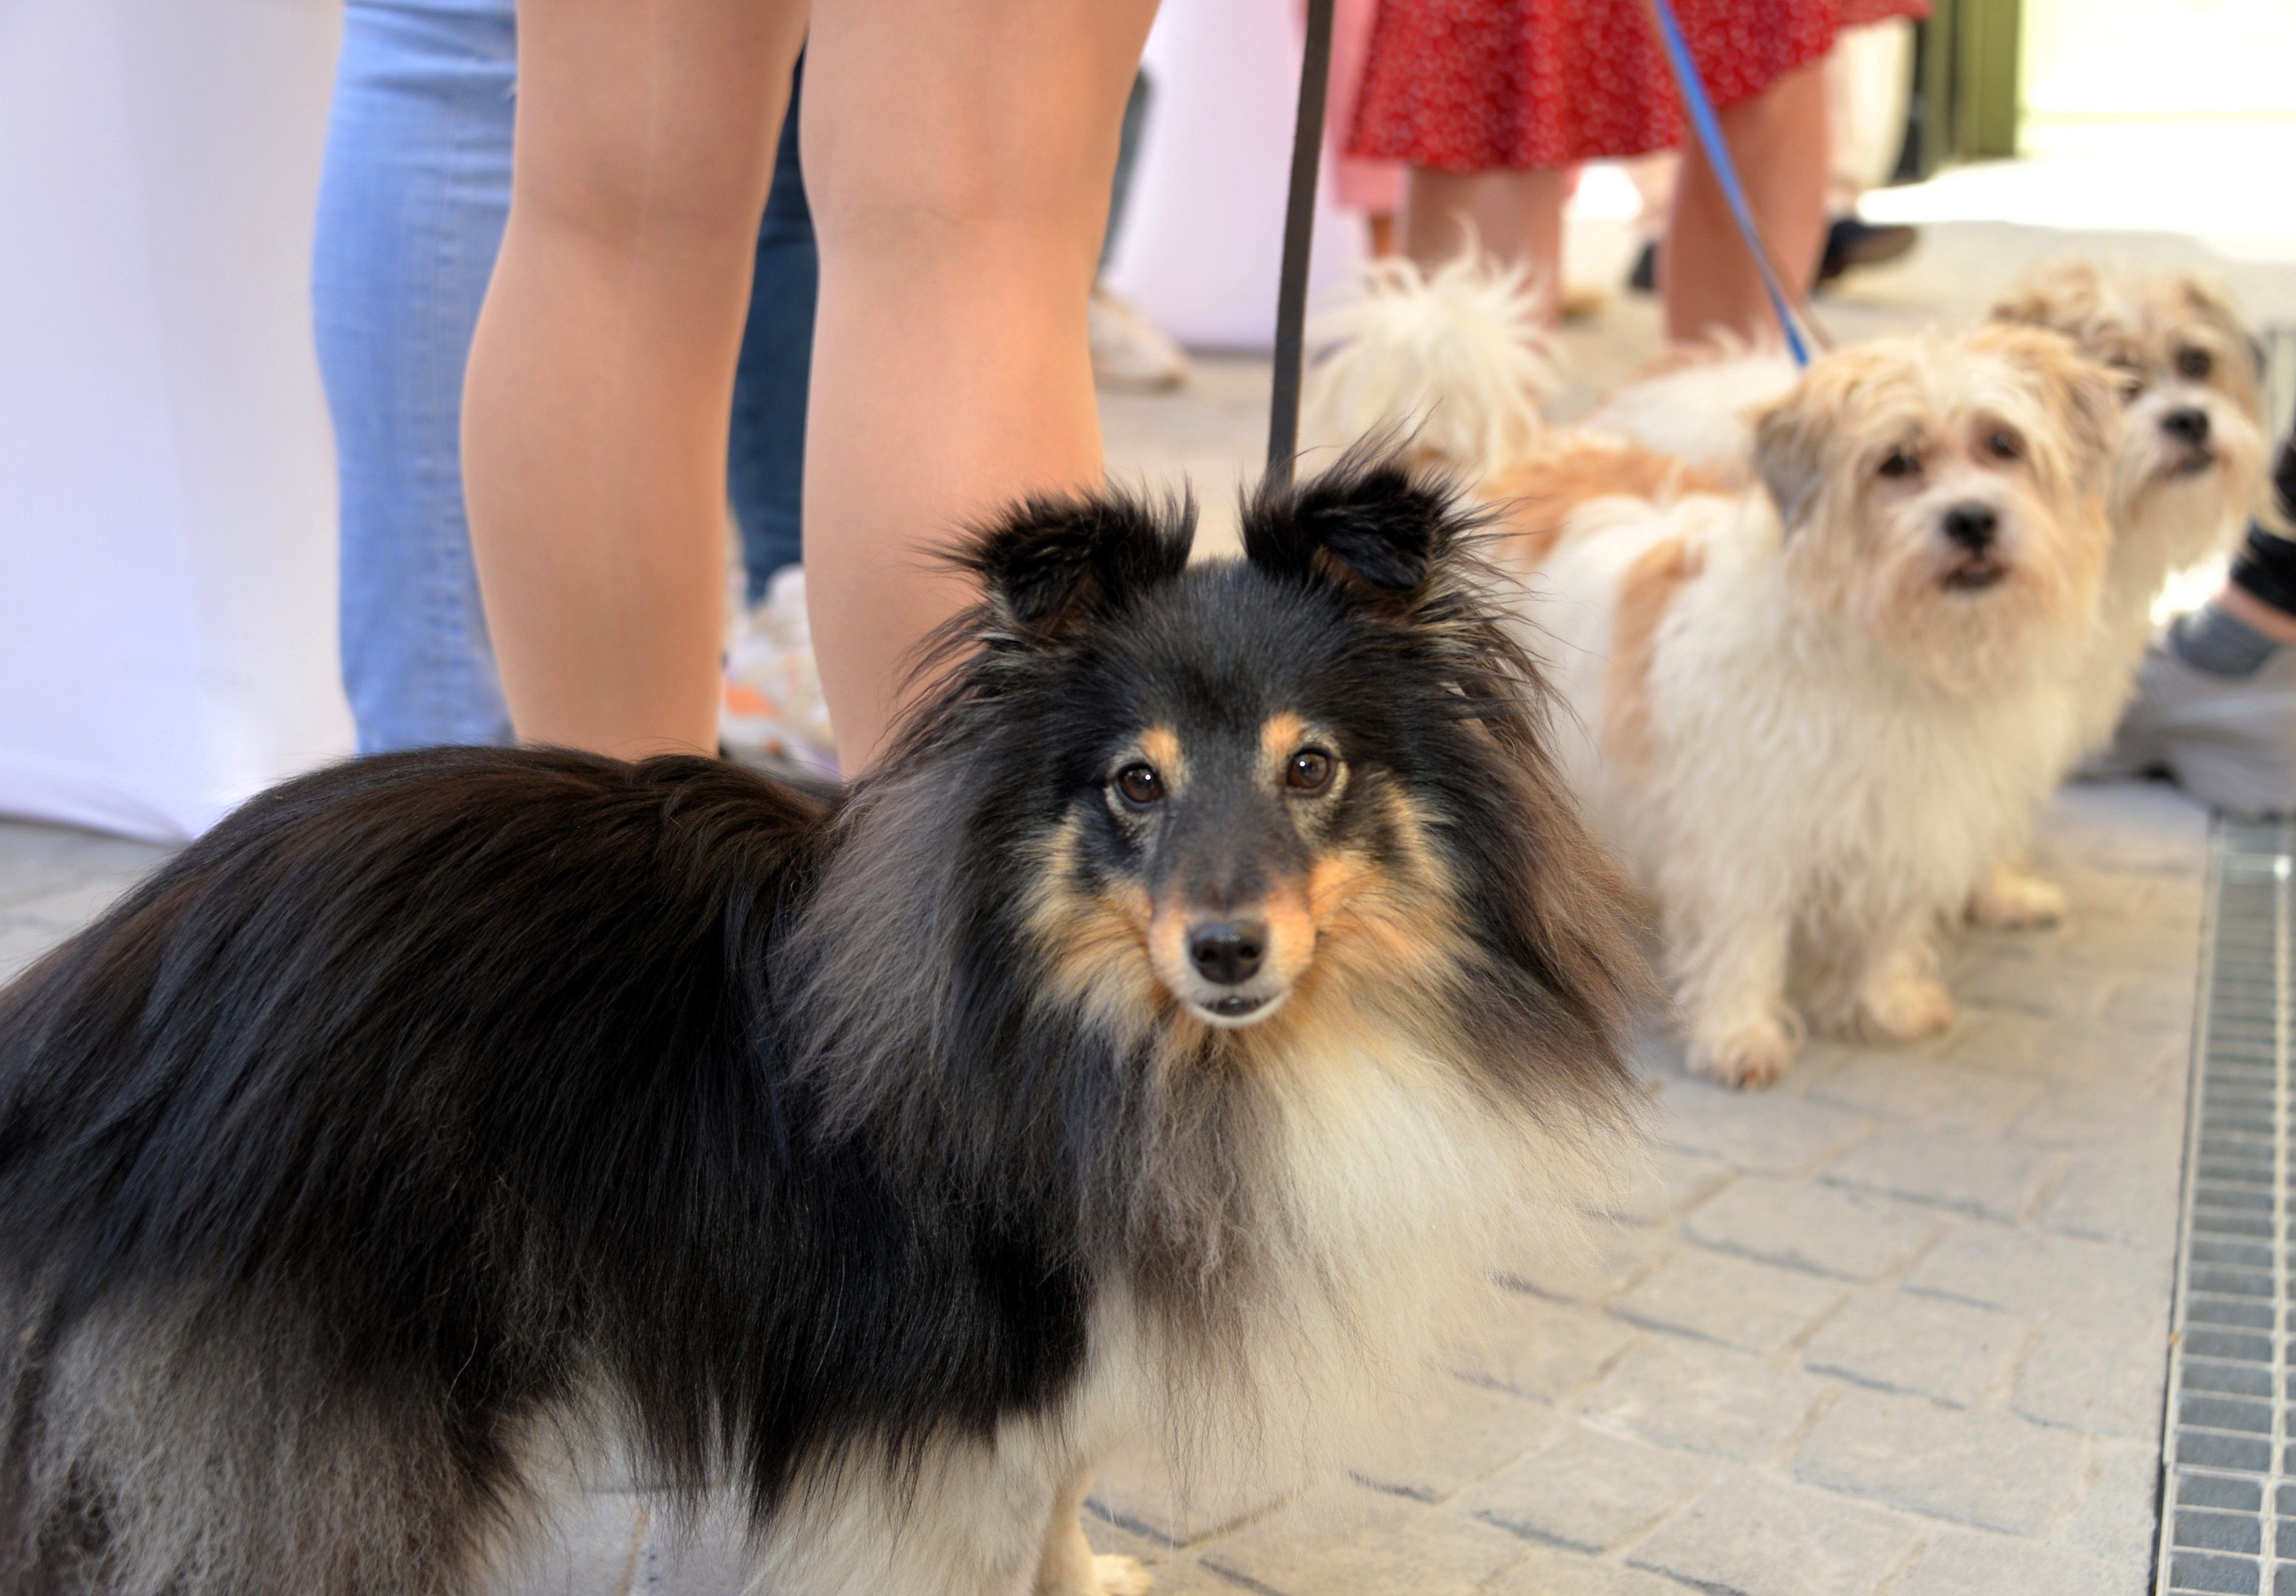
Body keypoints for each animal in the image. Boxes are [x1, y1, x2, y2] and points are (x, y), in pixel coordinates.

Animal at [0, 457, 1643, 1596]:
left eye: (1311, 766)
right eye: (1134, 780)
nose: (1226, 947)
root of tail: (118, 968)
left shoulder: (1053, 1363)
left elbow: (1062, 1497)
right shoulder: (972, 1379)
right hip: (362, 1397)